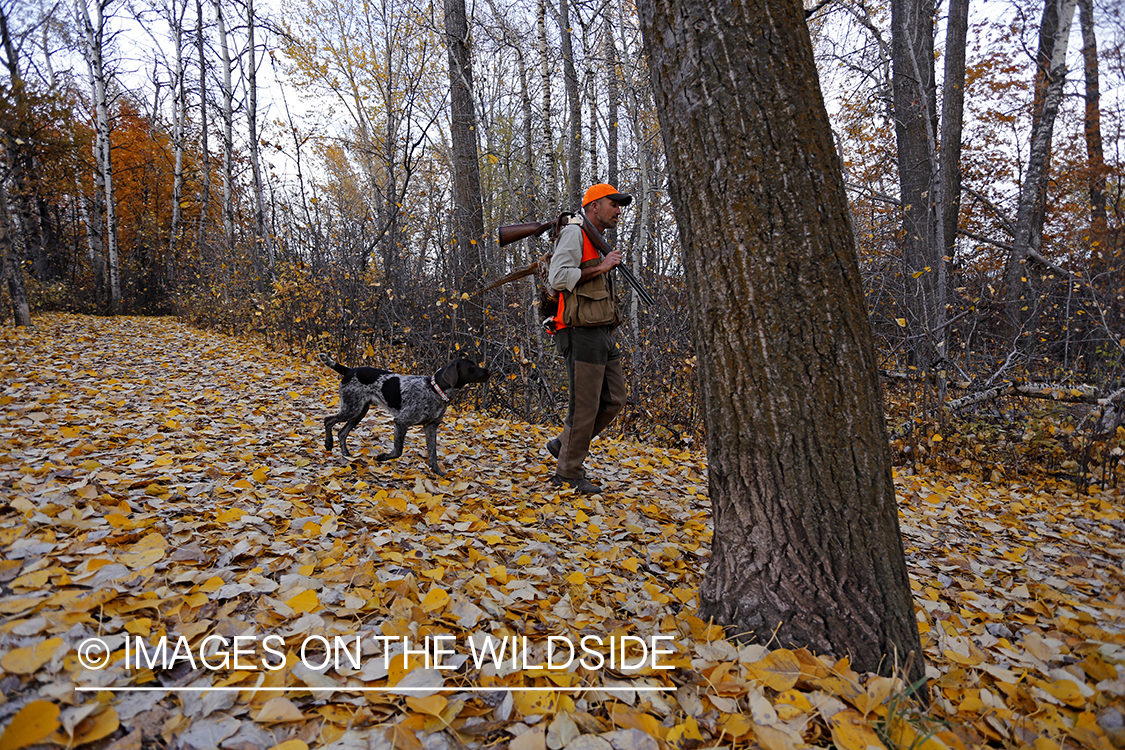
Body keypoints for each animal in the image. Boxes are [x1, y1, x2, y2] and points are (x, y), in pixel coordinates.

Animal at [319, 353, 490, 474]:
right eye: (471, 367)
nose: (489, 371)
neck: (435, 390)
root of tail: (350, 370)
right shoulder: (401, 422)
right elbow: (398, 451)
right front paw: (382, 457)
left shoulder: (431, 427)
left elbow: (433, 454)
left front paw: (438, 472)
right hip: (351, 409)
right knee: (328, 420)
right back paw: (328, 443)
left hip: (359, 412)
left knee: (342, 432)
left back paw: (346, 454)